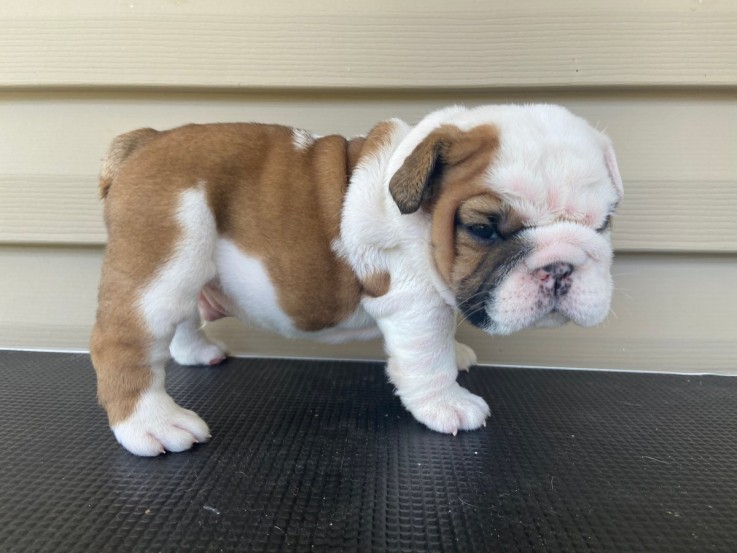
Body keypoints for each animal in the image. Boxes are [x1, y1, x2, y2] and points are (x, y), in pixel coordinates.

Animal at [90, 102, 620, 452]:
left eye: (603, 222)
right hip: (162, 257)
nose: (559, 265)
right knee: (123, 343)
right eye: (484, 229)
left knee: (182, 318)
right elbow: (426, 358)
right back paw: (153, 425)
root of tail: (145, 141)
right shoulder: (413, 302)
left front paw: (456, 354)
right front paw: (447, 403)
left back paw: (197, 353)